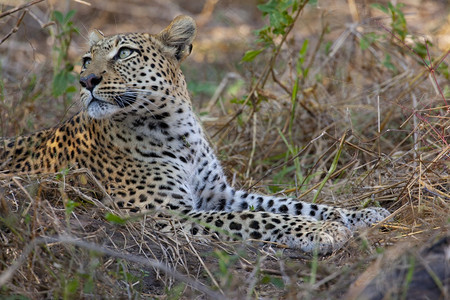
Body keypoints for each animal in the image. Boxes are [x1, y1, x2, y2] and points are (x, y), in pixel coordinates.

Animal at [0, 15, 390, 254]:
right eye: (85, 60)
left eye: (124, 53)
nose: (85, 80)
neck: (177, 128)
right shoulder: (165, 214)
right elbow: (261, 217)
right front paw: (321, 232)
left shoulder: (221, 194)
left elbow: (288, 204)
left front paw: (366, 214)